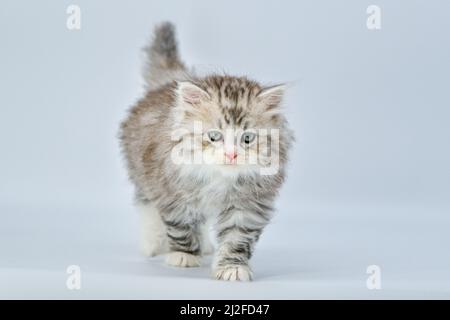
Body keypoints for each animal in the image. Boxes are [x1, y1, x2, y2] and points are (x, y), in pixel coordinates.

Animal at [119, 21, 294, 280]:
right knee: (147, 205)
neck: (219, 178)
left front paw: (232, 267)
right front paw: (184, 255)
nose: (231, 154)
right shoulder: (172, 193)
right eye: (214, 137)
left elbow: (236, 238)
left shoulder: (248, 204)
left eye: (247, 139)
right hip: (141, 170)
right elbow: (181, 226)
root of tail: (169, 80)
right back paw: (153, 243)